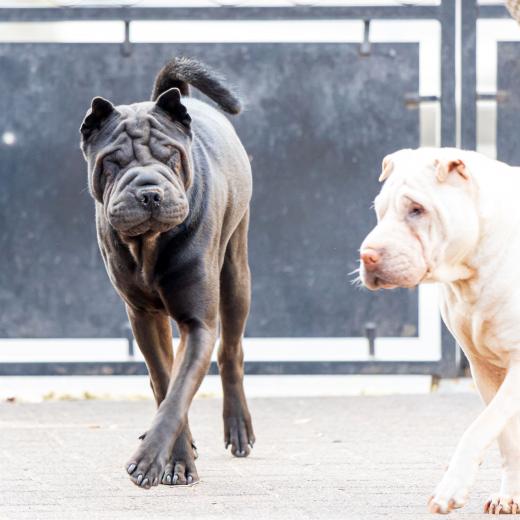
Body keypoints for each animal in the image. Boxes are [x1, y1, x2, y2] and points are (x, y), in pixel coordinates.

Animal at [80, 57, 255, 488]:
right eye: (114, 162)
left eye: (171, 156)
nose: (149, 191)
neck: (149, 245)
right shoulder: (143, 317)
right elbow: (164, 382)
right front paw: (176, 458)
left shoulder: (198, 322)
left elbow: (178, 393)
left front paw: (152, 462)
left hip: (235, 274)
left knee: (231, 350)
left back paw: (238, 428)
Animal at [359, 147, 520, 514]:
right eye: (379, 210)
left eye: (416, 210)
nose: (367, 255)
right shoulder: (484, 368)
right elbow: (506, 436)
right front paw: (510, 495)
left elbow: (481, 427)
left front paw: (451, 488)